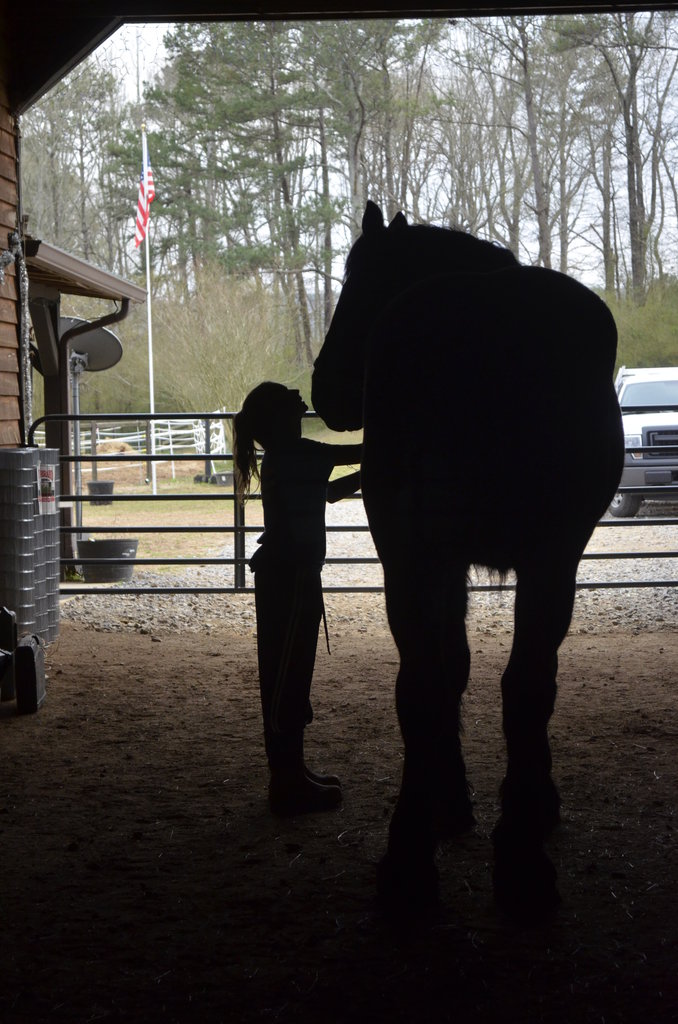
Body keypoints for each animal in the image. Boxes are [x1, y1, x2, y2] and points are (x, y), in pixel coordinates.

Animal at [311, 201, 624, 921]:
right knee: (510, 682)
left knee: (426, 684)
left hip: (416, 557)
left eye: (358, 280)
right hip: (515, 559)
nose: (325, 386)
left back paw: (412, 860)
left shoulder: (453, 562)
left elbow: (453, 671)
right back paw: (515, 861)